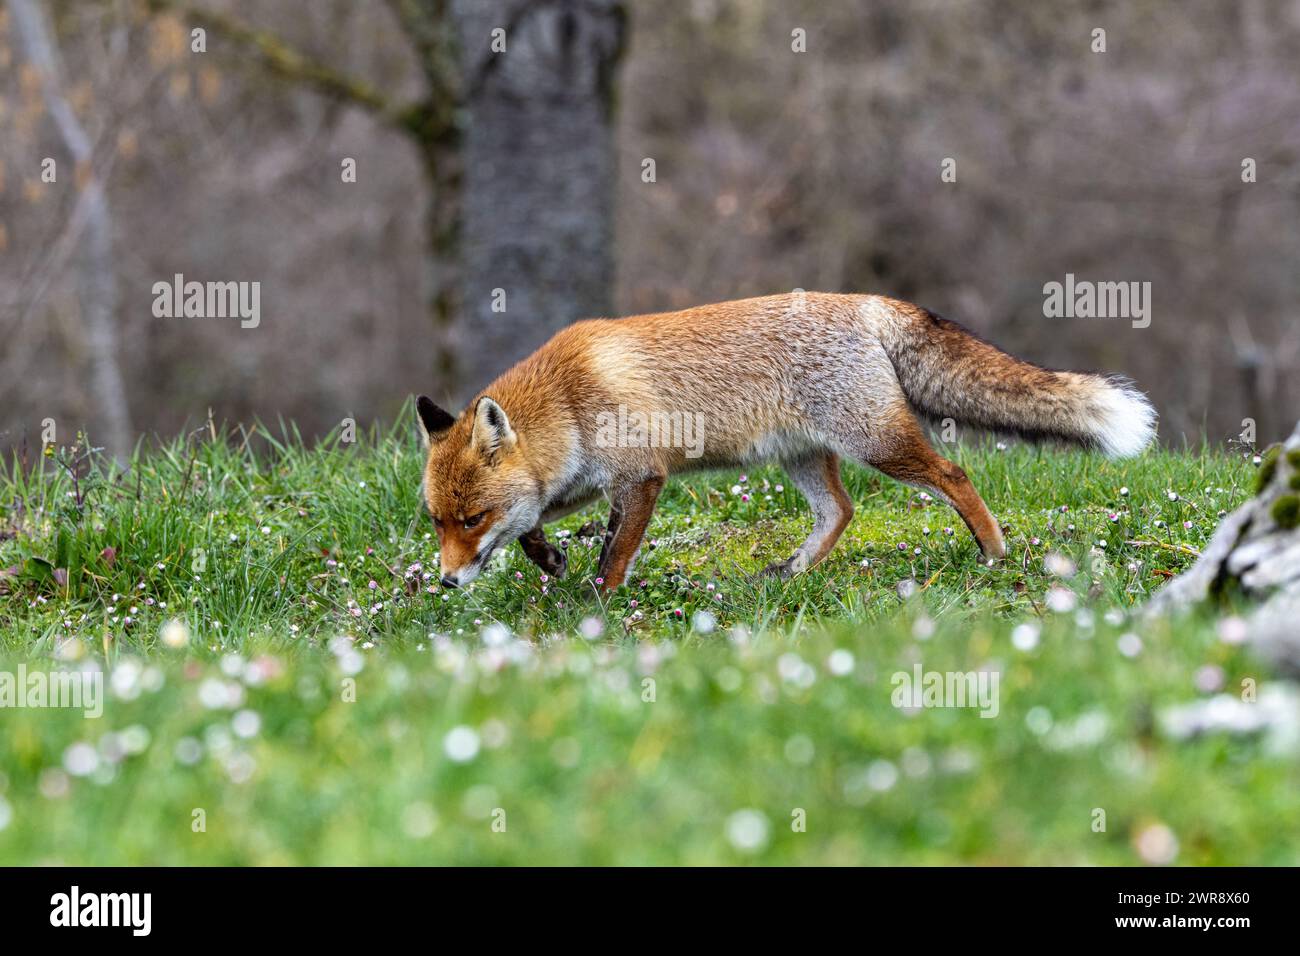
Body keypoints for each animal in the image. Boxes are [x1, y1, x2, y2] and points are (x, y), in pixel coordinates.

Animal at [416, 291, 1159, 590]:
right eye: (440, 521)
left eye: (471, 519)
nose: (447, 582)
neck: (568, 398)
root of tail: (867, 302)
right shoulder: (579, 480)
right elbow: (534, 522)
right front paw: (550, 561)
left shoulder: (642, 476)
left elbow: (615, 553)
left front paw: (596, 600)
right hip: (800, 457)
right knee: (841, 511)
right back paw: (794, 572)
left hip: (877, 445)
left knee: (953, 475)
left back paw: (993, 550)